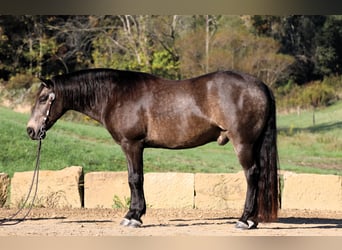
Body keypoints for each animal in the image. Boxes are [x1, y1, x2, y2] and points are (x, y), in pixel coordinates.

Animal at [26, 68, 278, 229]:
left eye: (43, 99)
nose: (31, 130)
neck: (116, 94)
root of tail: (260, 85)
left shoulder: (132, 144)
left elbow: (135, 179)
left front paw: (133, 216)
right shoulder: (132, 146)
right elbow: (134, 178)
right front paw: (135, 214)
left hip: (243, 143)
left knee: (252, 175)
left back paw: (244, 219)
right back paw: (253, 219)